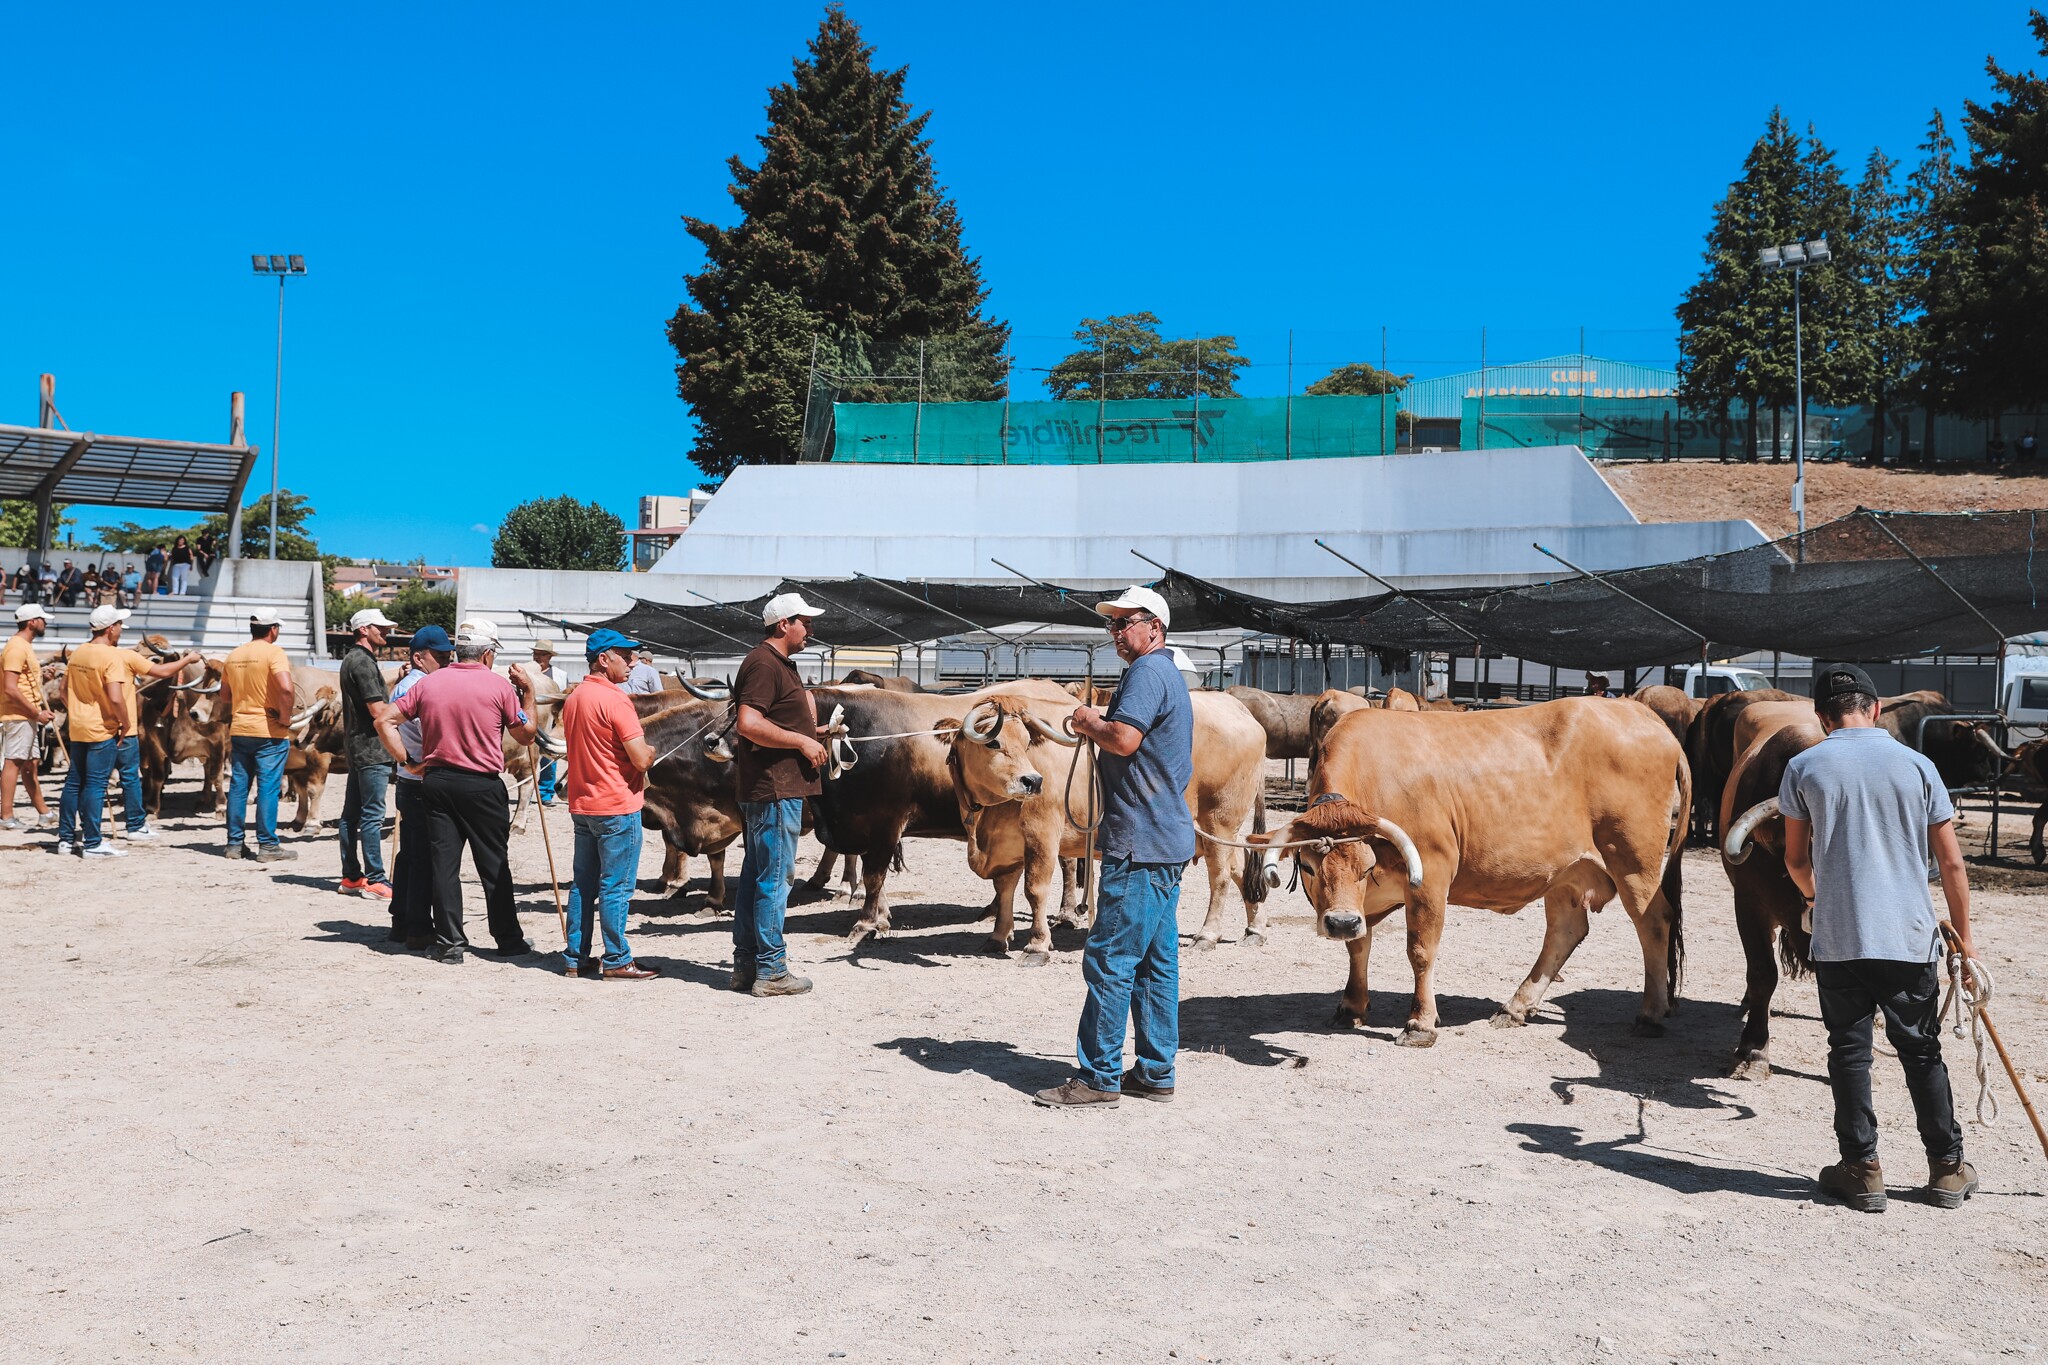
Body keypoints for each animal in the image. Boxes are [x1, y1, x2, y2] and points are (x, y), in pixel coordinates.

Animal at [1253, 699, 1687, 1055]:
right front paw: (1352, 1006)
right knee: (1566, 930)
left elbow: (1420, 951)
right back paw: (1516, 1007)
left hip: (1633, 861)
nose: (1340, 922)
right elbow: (1358, 946)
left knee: (1653, 921)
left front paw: (1420, 1023)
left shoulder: (1431, 876)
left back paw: (1650, 1014)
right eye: (1308, 866)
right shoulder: (1362, 905)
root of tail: (1642, 713)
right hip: (1567, 873)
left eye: (1366, 866)